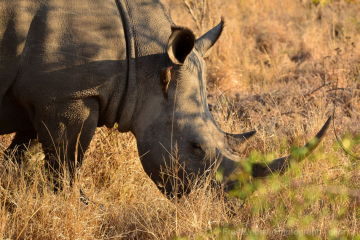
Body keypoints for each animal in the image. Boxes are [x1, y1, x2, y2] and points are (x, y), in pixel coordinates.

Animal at [0, 0, 332, 197]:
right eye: (196, 147)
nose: (228, 203)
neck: (141, 58)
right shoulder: (69, 98)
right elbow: (65, 167)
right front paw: (71, 204)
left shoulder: (45, 98)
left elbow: (18, 157)